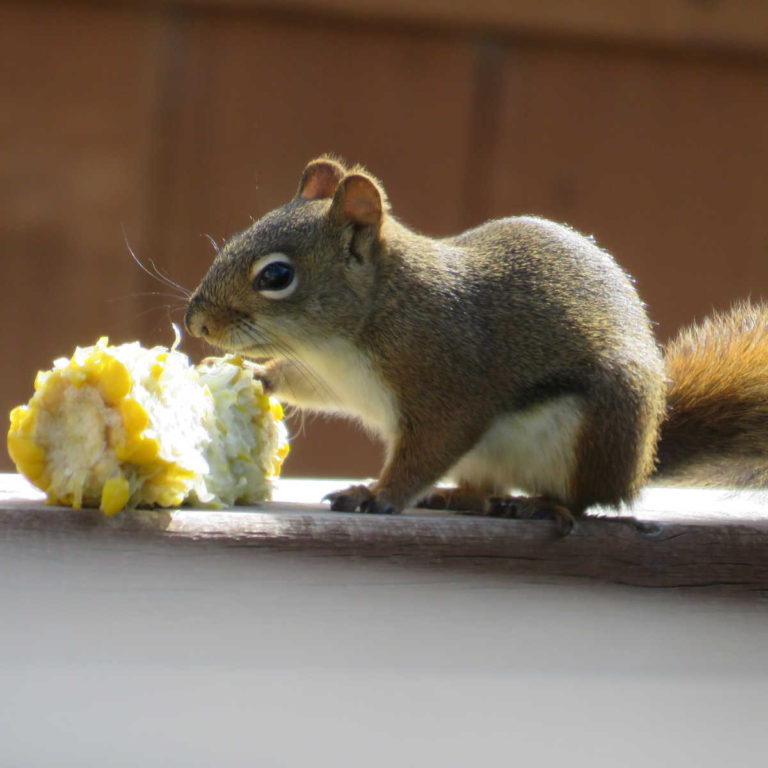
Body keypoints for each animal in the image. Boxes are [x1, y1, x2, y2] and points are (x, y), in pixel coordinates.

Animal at [185, 155, 768, 528]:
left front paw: (377, 494)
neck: (343, 340)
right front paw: (258, 375)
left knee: (586, 501)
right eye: (234, 240)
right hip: (488, 460)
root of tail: (642, 460)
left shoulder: (446, 386)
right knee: (484, 490)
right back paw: (455, 499)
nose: (197, 324)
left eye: (277, 275)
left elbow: (426, 451)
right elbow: (304, 385)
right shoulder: (333, 380)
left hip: (592, 433)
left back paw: (543, 507)